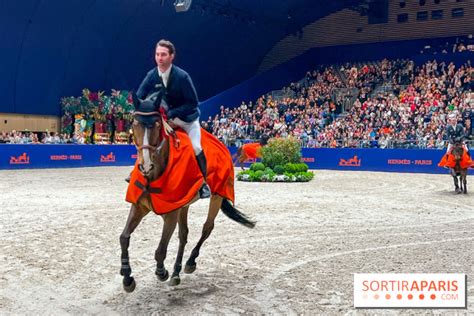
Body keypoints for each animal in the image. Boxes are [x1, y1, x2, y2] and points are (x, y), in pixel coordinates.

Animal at [120, 94, 258, 294]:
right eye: (134, 123)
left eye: (157, 125)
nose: (145, 166)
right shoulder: (140, 206)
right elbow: (124, 238)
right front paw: (127, 277)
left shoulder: (170, 214)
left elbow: (160, 250)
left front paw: (161, 272)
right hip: (184, 204)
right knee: (184, 235)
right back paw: (176, 273)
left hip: (217, 196)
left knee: (207, 228)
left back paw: (189, 263)